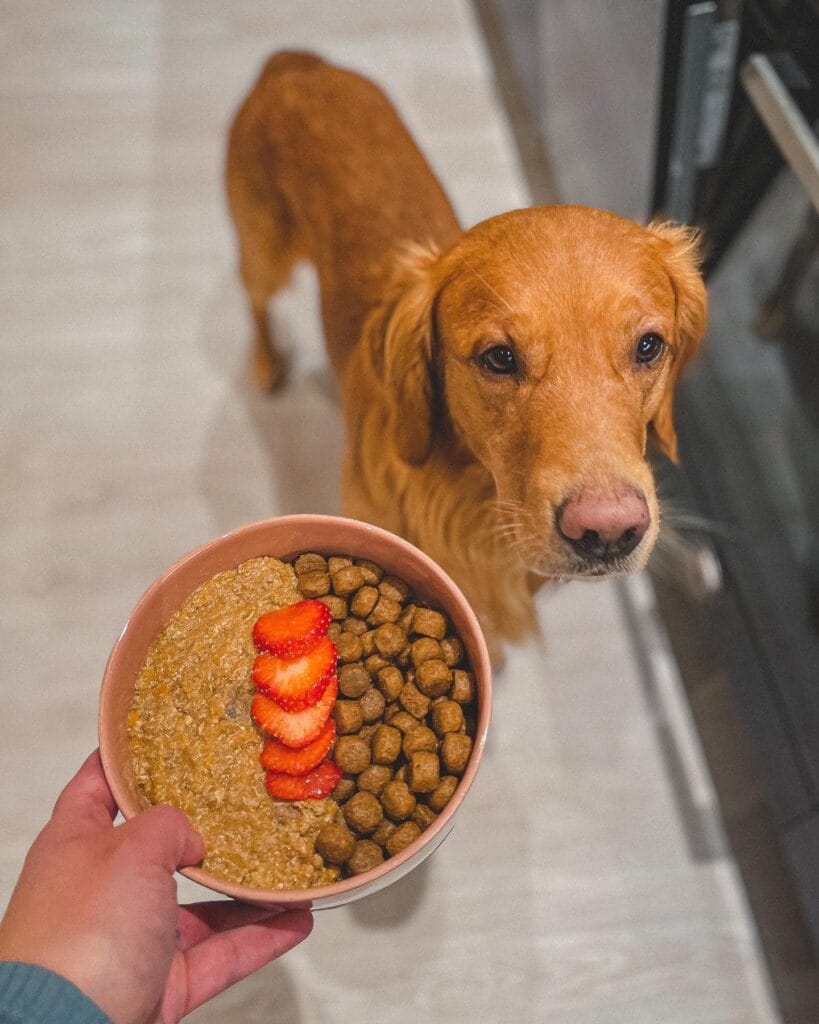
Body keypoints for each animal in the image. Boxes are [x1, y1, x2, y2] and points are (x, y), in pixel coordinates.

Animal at [226, 51, 707, 655]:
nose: (609, 531)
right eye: (499, 357)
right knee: (255, 301)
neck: (472, 502)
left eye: (649, 346)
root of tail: (295, 62)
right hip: (263, 249)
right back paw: (267, 363)